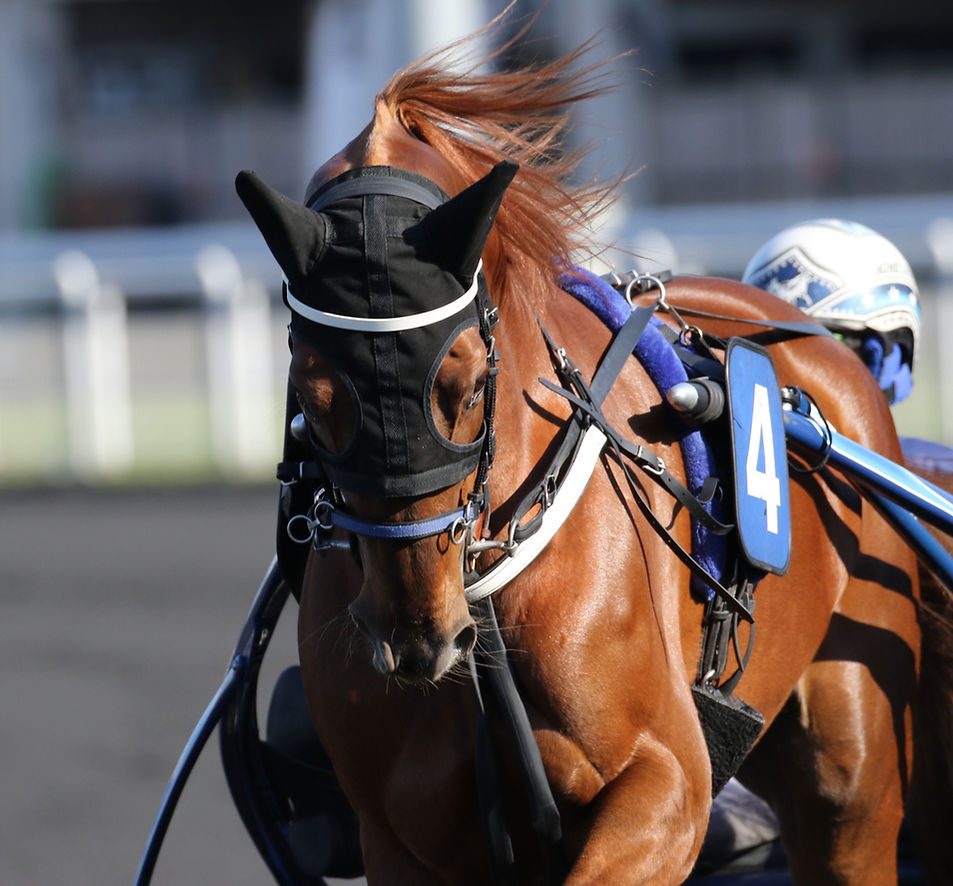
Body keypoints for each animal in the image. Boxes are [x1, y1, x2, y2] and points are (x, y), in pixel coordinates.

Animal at [236, 25, 953, 885]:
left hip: (847, 782)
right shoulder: (403, 838)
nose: (418, 638)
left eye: (464, 384)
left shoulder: (668, 784)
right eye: (313, 392)